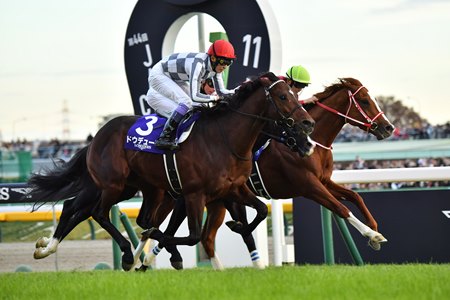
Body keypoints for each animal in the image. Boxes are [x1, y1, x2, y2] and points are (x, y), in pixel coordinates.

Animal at [27, 72, 312, 270]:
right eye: (284, 97)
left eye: (295, 95)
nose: (308, 127)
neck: (225, 140)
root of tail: (96, 137)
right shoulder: (193, 194)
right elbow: (192, 235)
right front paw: (152, 253)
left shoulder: (232, 189)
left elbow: (260, 210)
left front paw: (238, 228)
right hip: (112, 184)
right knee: (96, 212)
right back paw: (125, 254)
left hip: (133, 188)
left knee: (79, 208)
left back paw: (46, 247)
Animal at [137, 77, 394, 270]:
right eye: (364, 101)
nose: (388, 127)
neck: (313, 141)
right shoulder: (308, 185)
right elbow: (339, 207)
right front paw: (371, 234)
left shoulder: (323, 180)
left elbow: (354, 196)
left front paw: (375, 229)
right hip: (188, 196)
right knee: (159, 226)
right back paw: (147, 260)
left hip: (216, 201)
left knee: (203, 237)